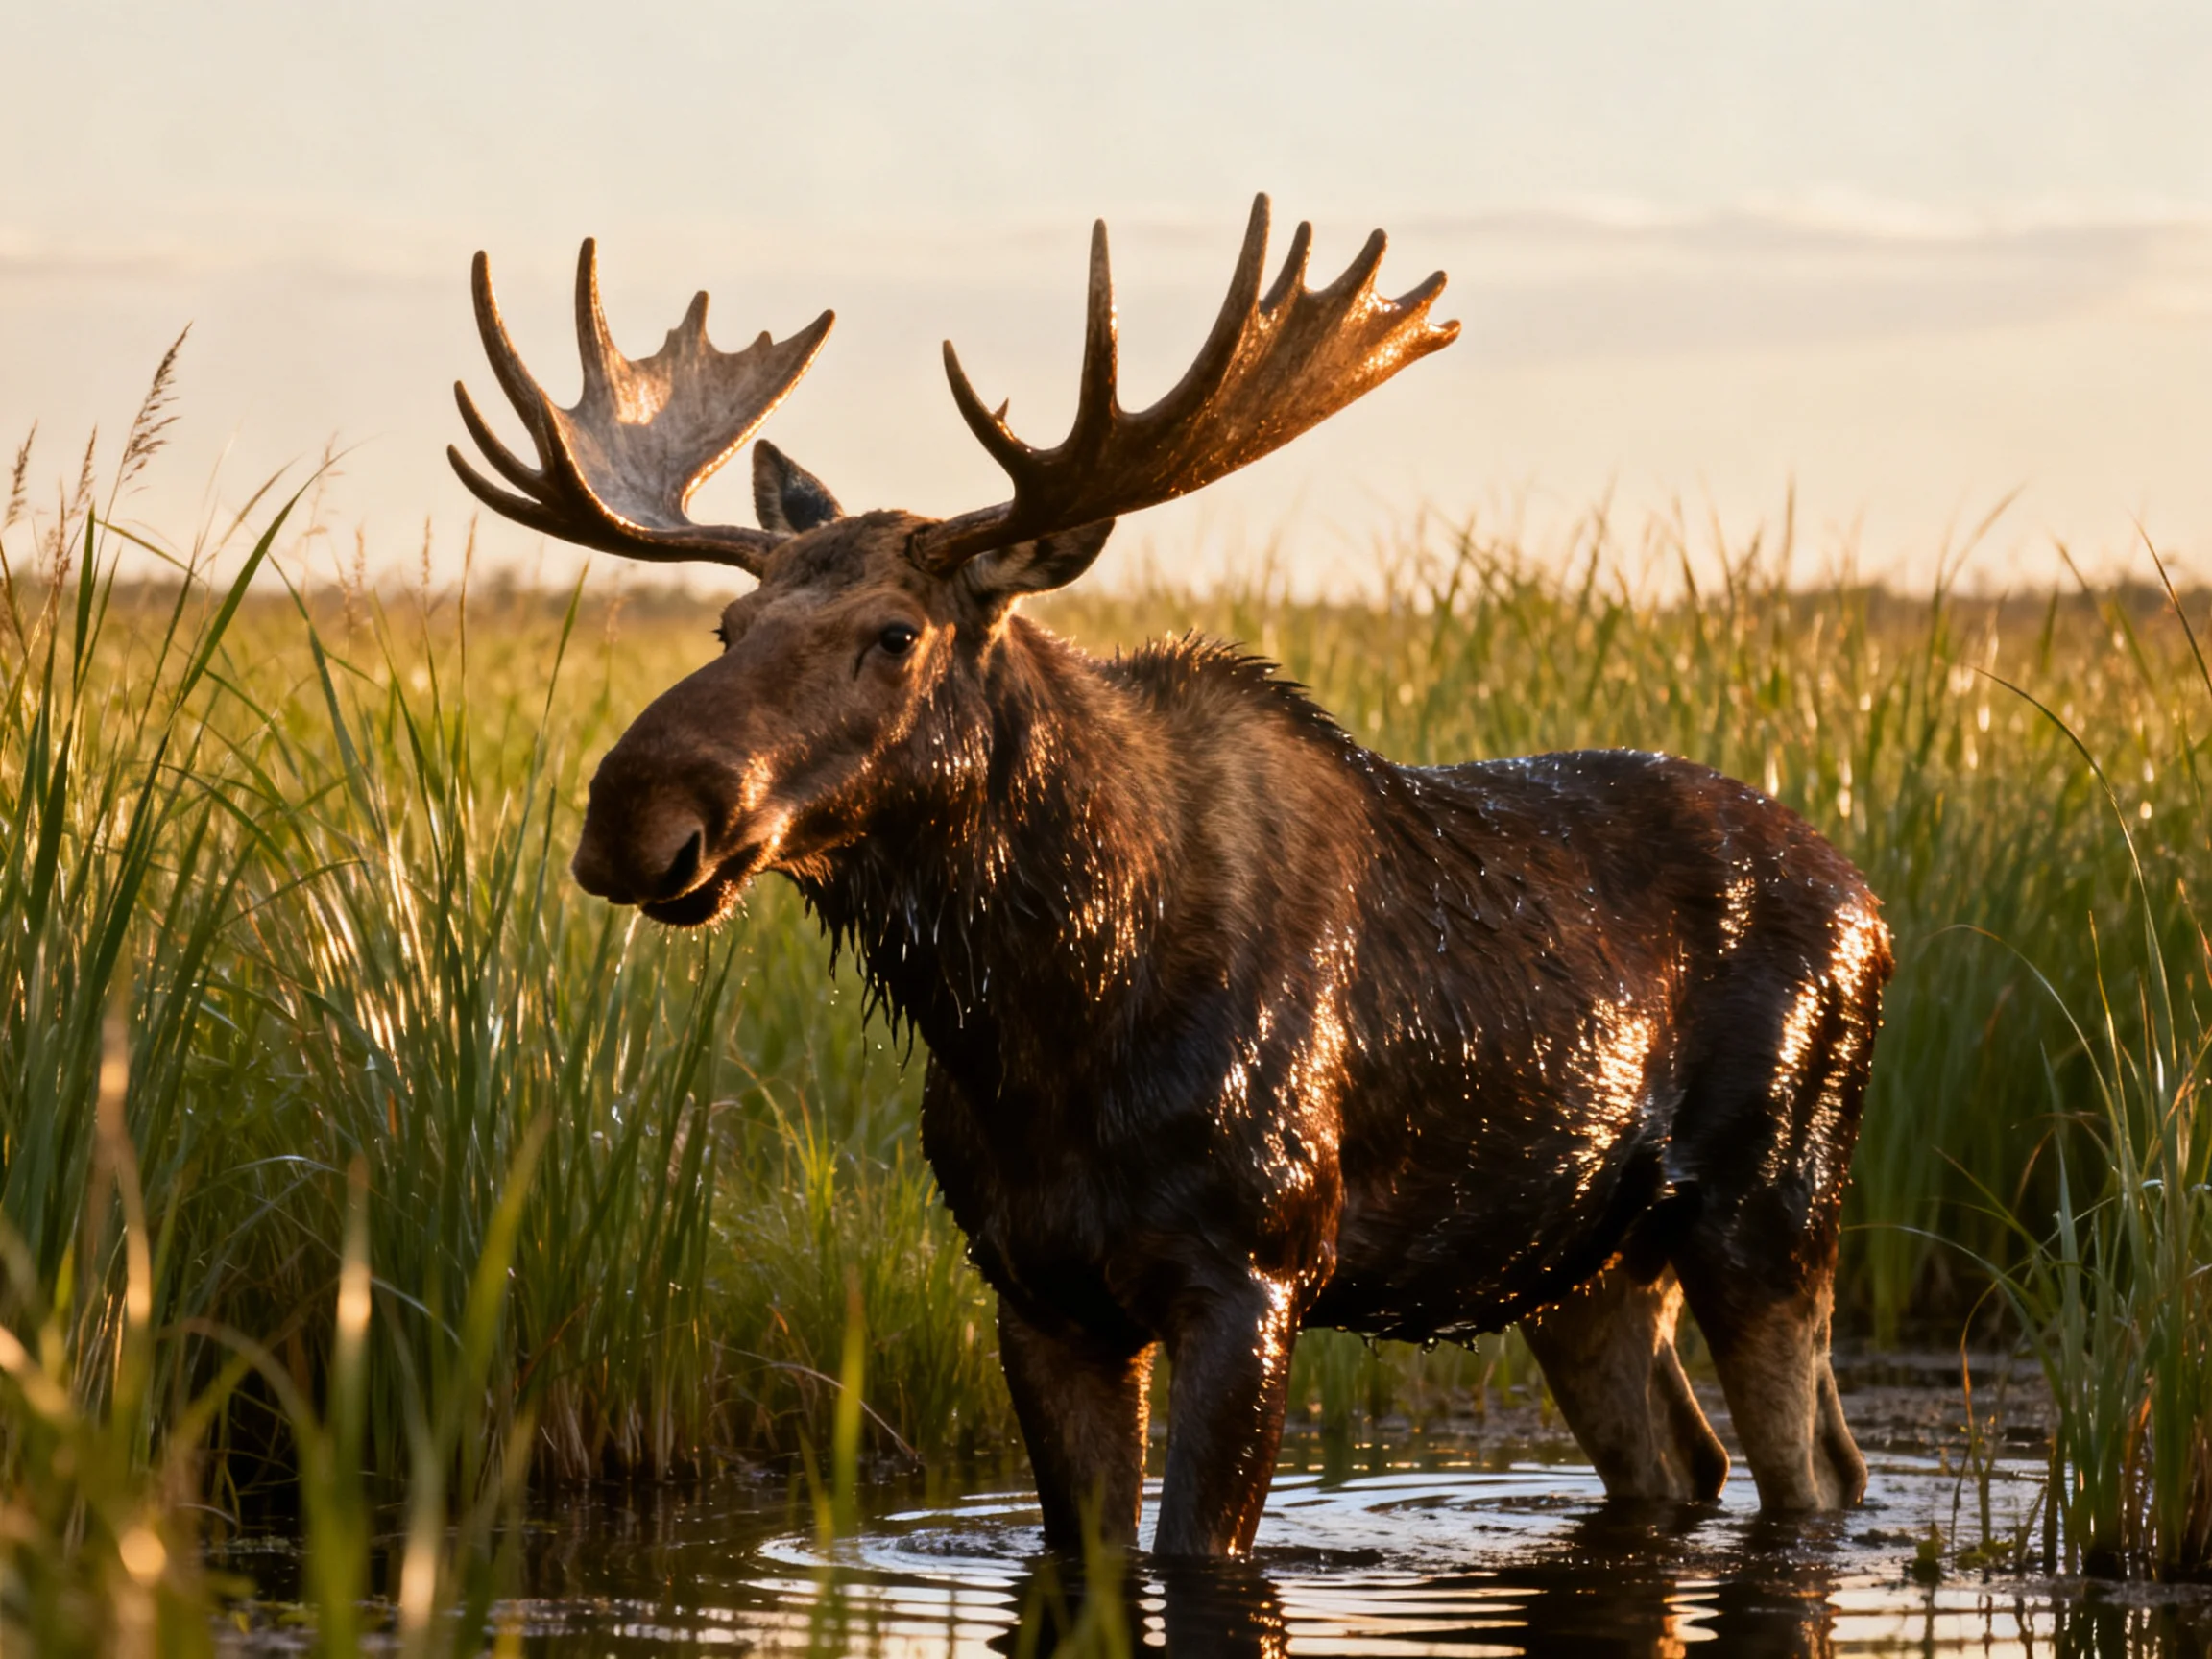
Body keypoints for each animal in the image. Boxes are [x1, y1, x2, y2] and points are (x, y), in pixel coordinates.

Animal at [450, 197, 1888, 1558]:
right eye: (729, 623)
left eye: (896, 634)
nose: (634, 811)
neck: (1043, 1026)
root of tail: (1872, 906)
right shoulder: (1033, 1287)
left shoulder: (1253, 1267)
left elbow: (1195, 1547)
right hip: (1582, 1263)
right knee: (1685, 1463)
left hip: (1774, 1208)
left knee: (1820, 1472)